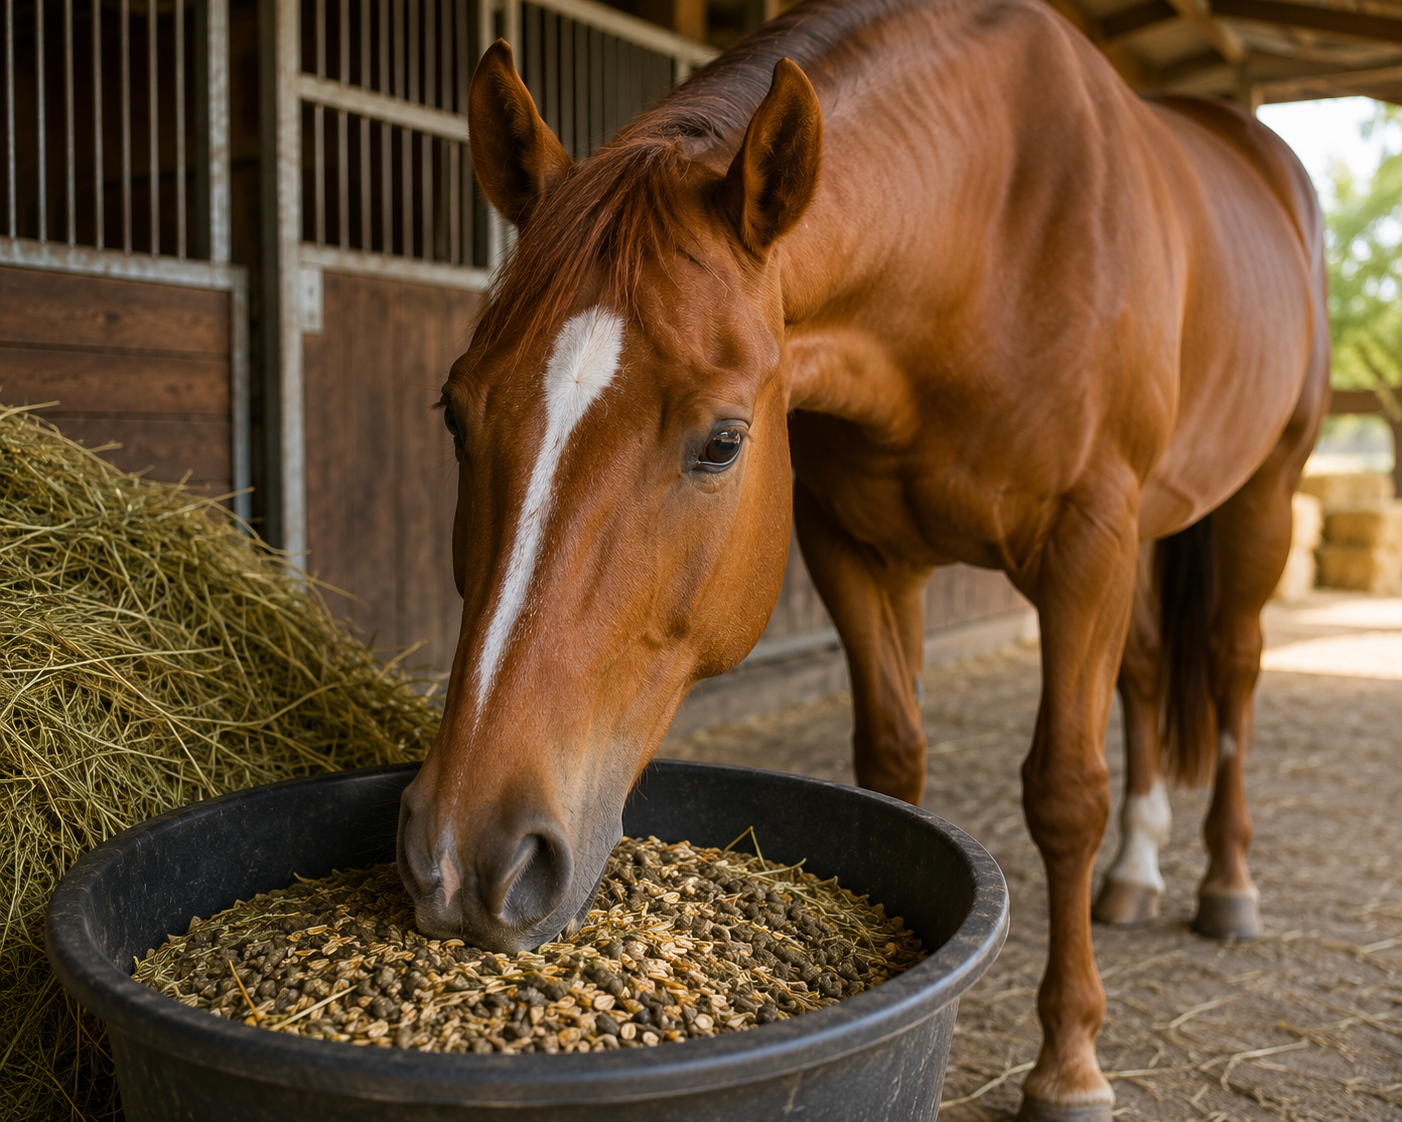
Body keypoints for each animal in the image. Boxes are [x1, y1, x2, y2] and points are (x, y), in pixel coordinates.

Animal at [395, 0, 1330, 1115]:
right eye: (454, 410)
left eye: (723, 443)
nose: (466, 856)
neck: (987, 237)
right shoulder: (858, 550)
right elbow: (890, 763)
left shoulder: (1084, 547)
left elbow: (1066, 792)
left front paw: (1068, 1061)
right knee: (1147, 673)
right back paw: (1137, 873)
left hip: (1260, 498)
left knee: (1231, 673)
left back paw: (1227, 886)